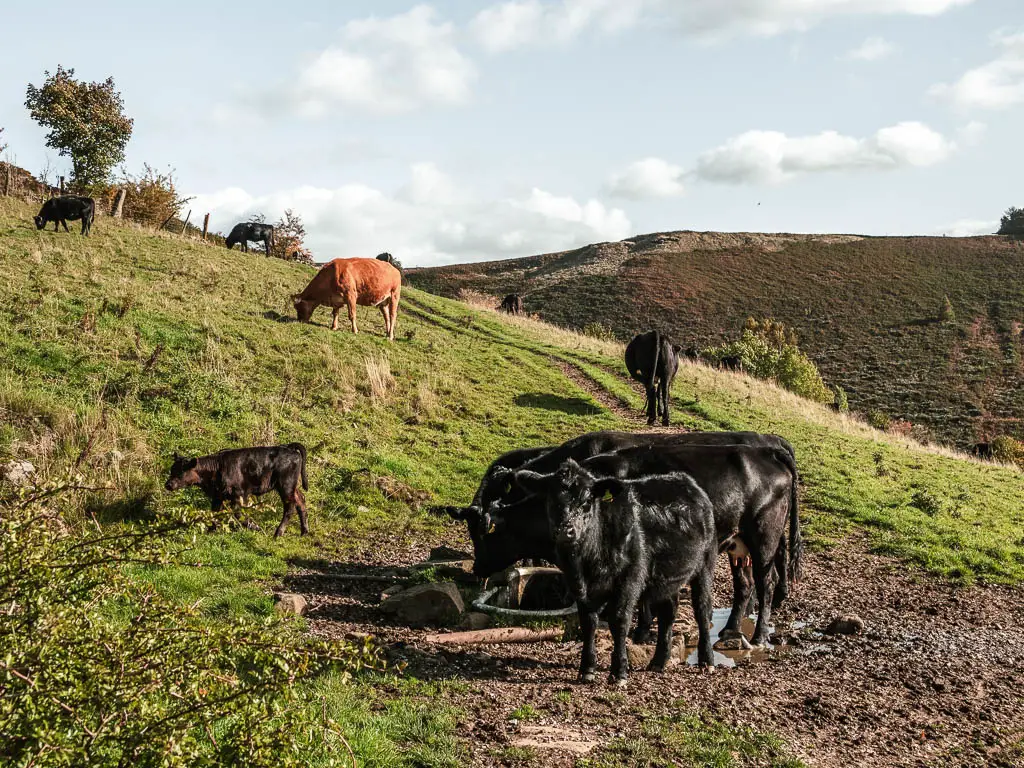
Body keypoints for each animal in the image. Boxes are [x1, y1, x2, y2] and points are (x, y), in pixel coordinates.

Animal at [161, 442, 307, 536]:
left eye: (181, 473)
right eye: (172, 470)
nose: (168, 484)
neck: (217, 468)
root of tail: (289, 448)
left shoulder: (239, 494)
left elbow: (237, 513)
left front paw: (255, 527)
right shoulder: (217, 496)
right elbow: (214, 513)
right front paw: (211, 530)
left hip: (285, 486)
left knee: (290, 507)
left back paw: (278, 533)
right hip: (291, 487)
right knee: (301, 500)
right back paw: (304, 531)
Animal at [516, 460, 716, 684]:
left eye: (587, 501)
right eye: (551, 500)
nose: (565, 532)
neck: (588, 561)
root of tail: (684, 480)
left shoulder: (629, 579)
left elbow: (619, 621)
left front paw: (619, 671)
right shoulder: (577, 584)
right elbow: (588, 622)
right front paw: (587, 668)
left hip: (705, 564)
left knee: (702, 610)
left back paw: (706, 660)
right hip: (665, 579)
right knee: (668, 612)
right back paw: (658, 661)